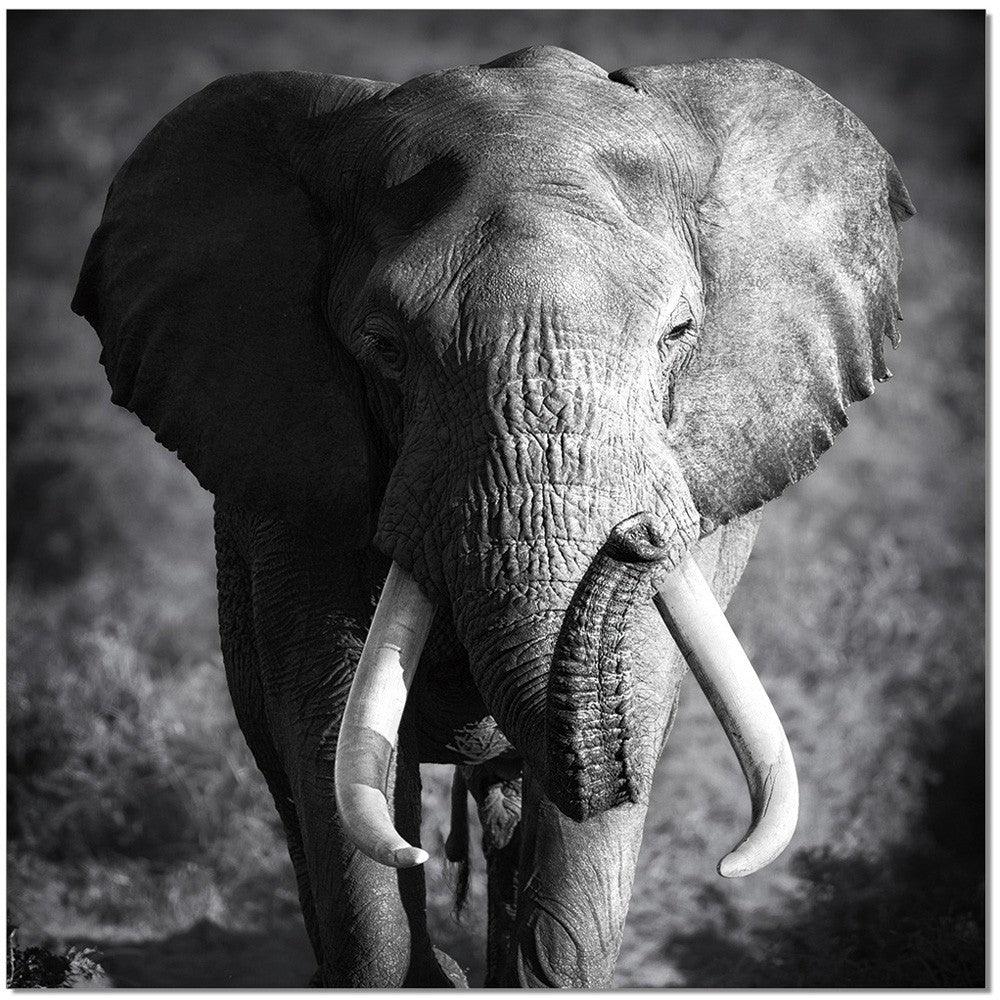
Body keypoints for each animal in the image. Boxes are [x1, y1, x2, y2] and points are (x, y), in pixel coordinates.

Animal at [72, 45, 913, 987]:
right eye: (385, 347)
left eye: (678, 332)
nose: (637, 535)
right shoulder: (291, 484)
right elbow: (332, 726)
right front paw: (414, 966)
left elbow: (633, 703)